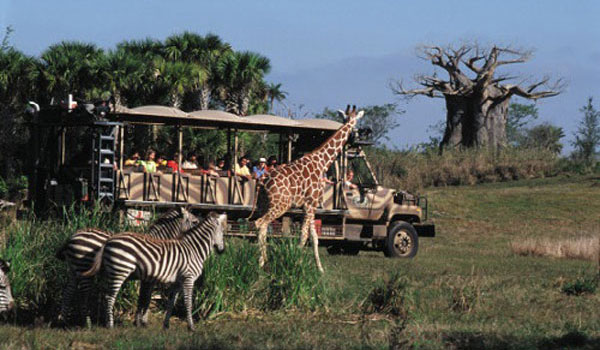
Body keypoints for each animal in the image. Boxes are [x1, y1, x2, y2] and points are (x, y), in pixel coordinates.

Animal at [55, 205, 199, 326]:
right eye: (195, 222)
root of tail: (72, 236)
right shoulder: (149, 278)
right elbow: (145, 299)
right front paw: (142, 322)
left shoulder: (146, 278)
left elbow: (144, 298)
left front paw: (139, 321)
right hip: (84, 269)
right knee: (83, 294)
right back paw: (87, 323)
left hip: (74, 270)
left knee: (68, 292)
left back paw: (63, 322)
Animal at [82, 212, 227, 330]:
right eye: (222, 232)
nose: (222, 250)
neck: (193, 250)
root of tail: (108, 240)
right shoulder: (188, 278)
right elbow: (188, 303)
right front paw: (191, 327)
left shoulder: (177, 282)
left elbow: (170, 303)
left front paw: (165, 325)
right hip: (120, 271)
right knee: (109, 297)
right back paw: (110, 326)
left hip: (111, 272)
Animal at [254, 105, 366, 272]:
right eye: (356, 124)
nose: (355, 137)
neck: (322, 162)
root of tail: (263, 182)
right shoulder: (309, 205)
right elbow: (304, 236)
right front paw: (295, 264)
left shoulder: (311, 206)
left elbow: (314, 237)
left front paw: (320, 269)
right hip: (280, 205)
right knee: (260, 223)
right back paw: (262, 262)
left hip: (264, 204)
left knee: (260, 226)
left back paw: (262, 261)